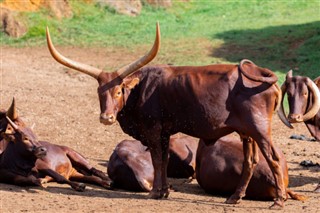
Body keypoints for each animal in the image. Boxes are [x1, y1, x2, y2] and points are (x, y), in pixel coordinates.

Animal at [47, 23, 288, 208]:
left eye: (118, 91)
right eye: (99, 92)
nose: (106, 117)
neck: (141, 88)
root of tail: (260, 73)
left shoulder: (153, 130)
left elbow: (156, 159)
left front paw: (155, 192)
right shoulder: (165, 132)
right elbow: (162, 160)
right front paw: (164, 191)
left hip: (260, 128)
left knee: (273, 158)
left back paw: (279, 200)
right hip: (247, 132)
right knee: (251, 161)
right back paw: (235, 197)